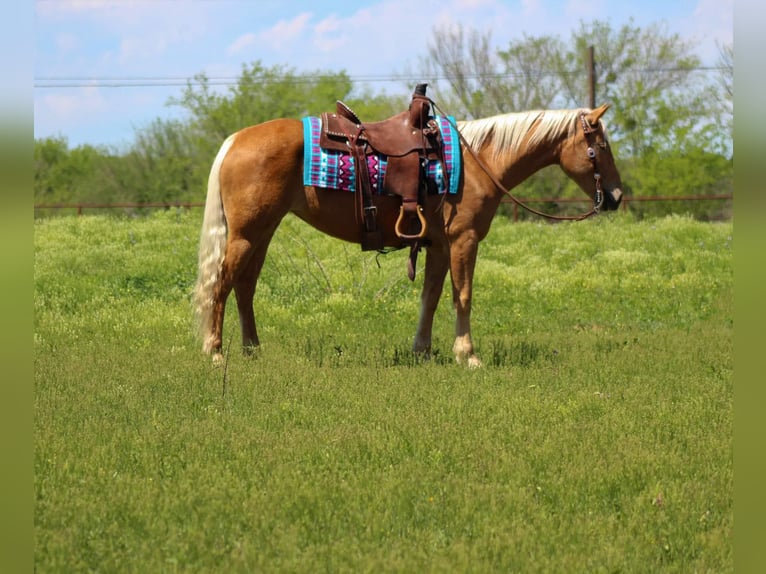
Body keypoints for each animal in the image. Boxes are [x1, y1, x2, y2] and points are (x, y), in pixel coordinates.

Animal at [192, 102, 624, 368]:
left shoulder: (438, 247)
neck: (479, 161)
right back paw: (215, 353)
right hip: (247, 234)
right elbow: (462, 296)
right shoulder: (464, 241)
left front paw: (423, 351)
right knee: (222, 284)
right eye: (600, 145)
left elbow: (430, 298)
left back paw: (252, 350)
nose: (616, 196)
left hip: (262, 232)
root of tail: (235, 141)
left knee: (244, 286)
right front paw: (468, 355)